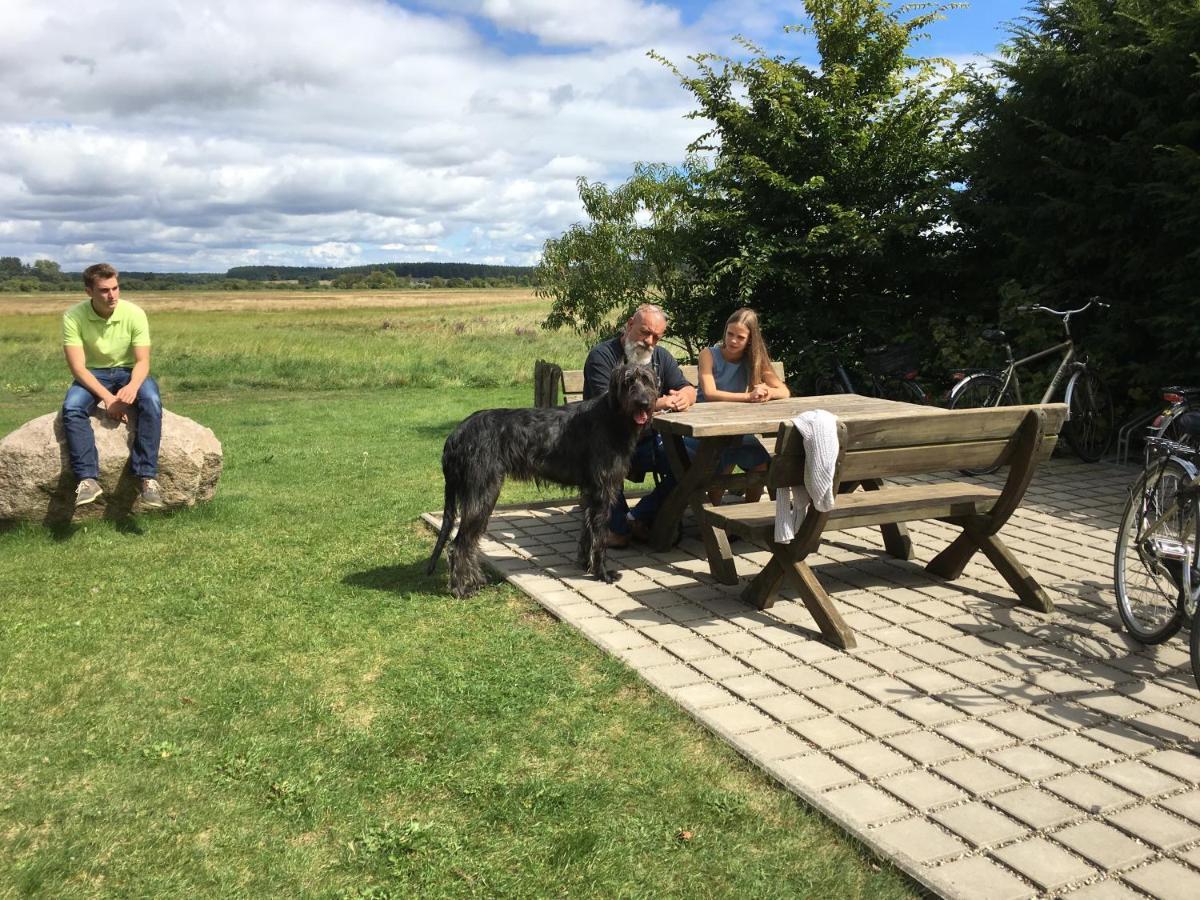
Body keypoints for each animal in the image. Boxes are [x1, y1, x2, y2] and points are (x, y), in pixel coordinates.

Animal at [429, 362, 657, 595]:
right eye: (627, 382)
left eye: (647, 380)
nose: (644, 403)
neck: (612, 416)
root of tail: (455, 435)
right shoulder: (602, 491)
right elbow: (600, 537)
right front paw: (602, 573)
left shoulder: (589, 492)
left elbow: (587, 532)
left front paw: (585, 565)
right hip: (483, 493)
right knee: (459, 544)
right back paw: (461, 588)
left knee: (470, 542)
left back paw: (475, 581)